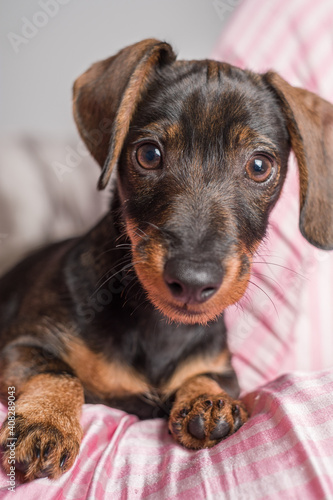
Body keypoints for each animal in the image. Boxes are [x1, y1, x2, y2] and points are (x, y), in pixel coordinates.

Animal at [0, 39, 332, 480]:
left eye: (260, 165)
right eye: (148, 154)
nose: (193, 281)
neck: (158, 326)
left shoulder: (222, 367)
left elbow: (208, 377)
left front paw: (207, 401)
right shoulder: (20, 344)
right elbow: (60, 373)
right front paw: (45, 422)